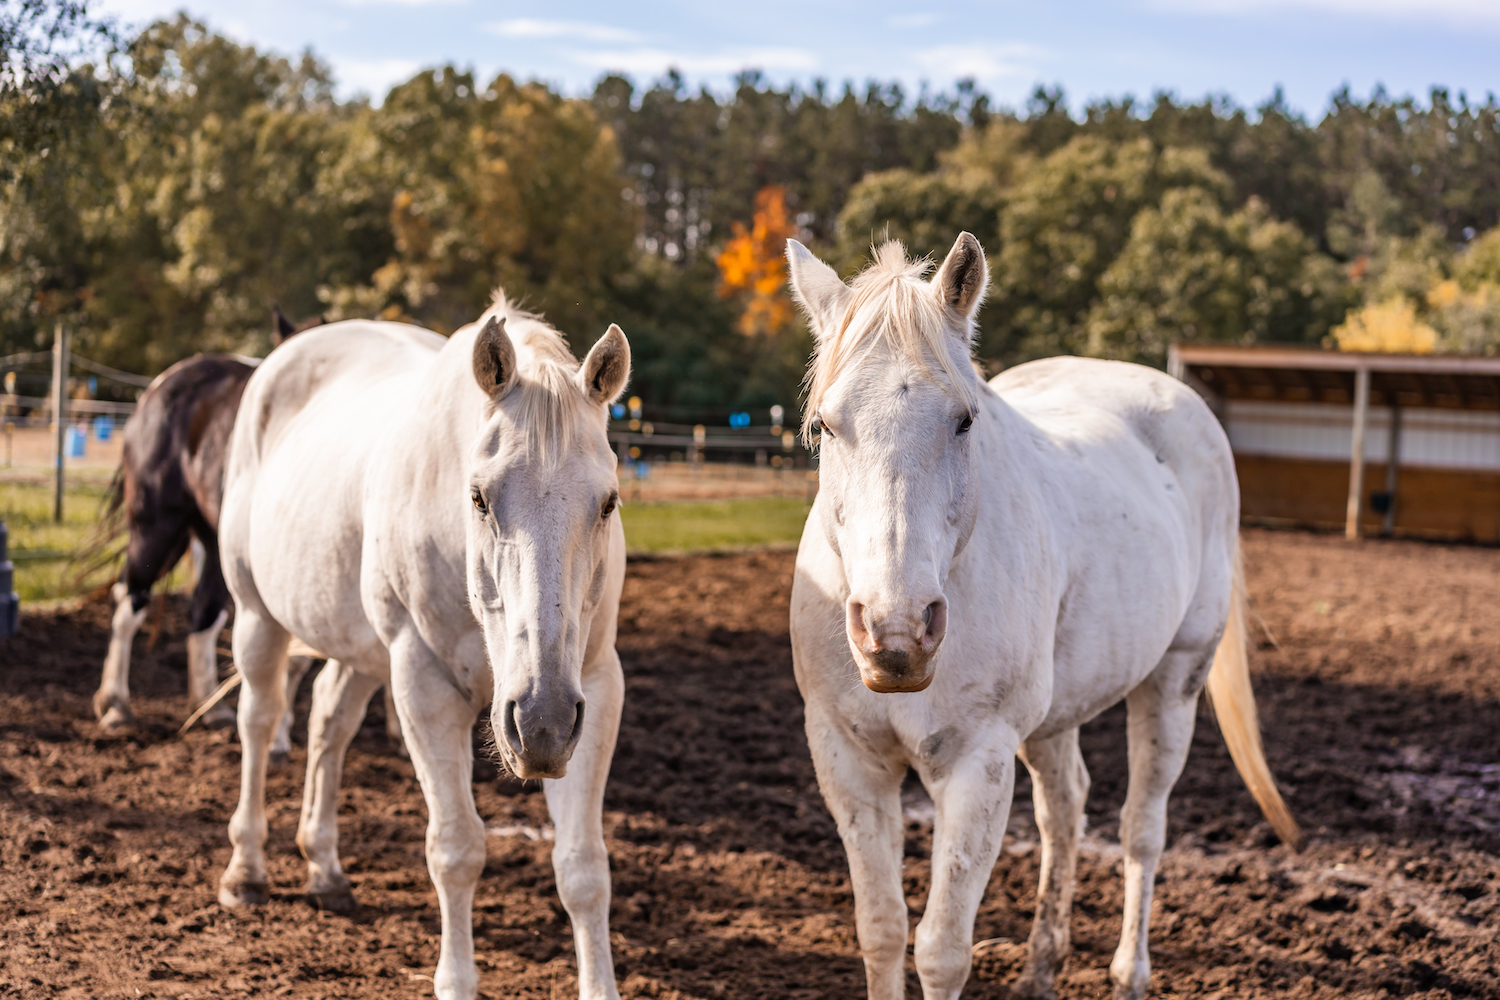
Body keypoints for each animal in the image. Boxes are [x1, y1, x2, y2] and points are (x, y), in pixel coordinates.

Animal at [216, 296, 627, 1000]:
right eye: (478, 496)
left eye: (608, 502)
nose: (540, 721)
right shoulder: (422, 684)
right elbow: (456, 850)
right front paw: (456, 980)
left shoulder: (594, 689)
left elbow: (582, 867)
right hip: (257, 619)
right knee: (260, 721)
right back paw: (247, 868)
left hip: (361, 650)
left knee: (329, 721)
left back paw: (324, 866)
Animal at [786, 236, 1302, 1000]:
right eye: (825, 423)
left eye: (965, 419)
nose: (896, 633)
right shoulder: (847, 759)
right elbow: (881, 929)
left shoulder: (980, 760)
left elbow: (941, 949)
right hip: (1056, 717)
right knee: (1065, 813)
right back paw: (1039, 968)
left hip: (1175, 680)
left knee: (1141, 827)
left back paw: (1129, 972)